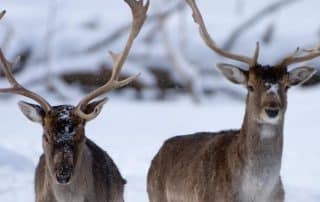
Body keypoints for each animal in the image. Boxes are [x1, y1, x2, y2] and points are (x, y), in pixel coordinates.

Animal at [148, 0, 320, 202]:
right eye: (250, 86)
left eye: (286, 86)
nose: (272, 109)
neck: (254, 194)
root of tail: (158, 153)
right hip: (155, 195)